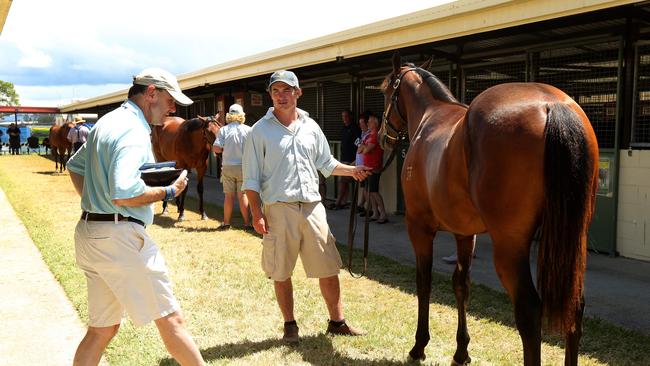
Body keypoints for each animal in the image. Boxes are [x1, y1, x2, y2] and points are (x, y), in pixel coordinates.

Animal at [380, 53, 596, 364]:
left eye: (385, 90)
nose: (383, 136)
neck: (430, 116)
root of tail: (550, 104)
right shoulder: (464, 232)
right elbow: (462, 285)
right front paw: (461, 351)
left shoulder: (419, 226)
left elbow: (424, 282)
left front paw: (419, 346)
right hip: (574, 239)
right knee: (575, 308)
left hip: (509, 245)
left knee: (529, 310)